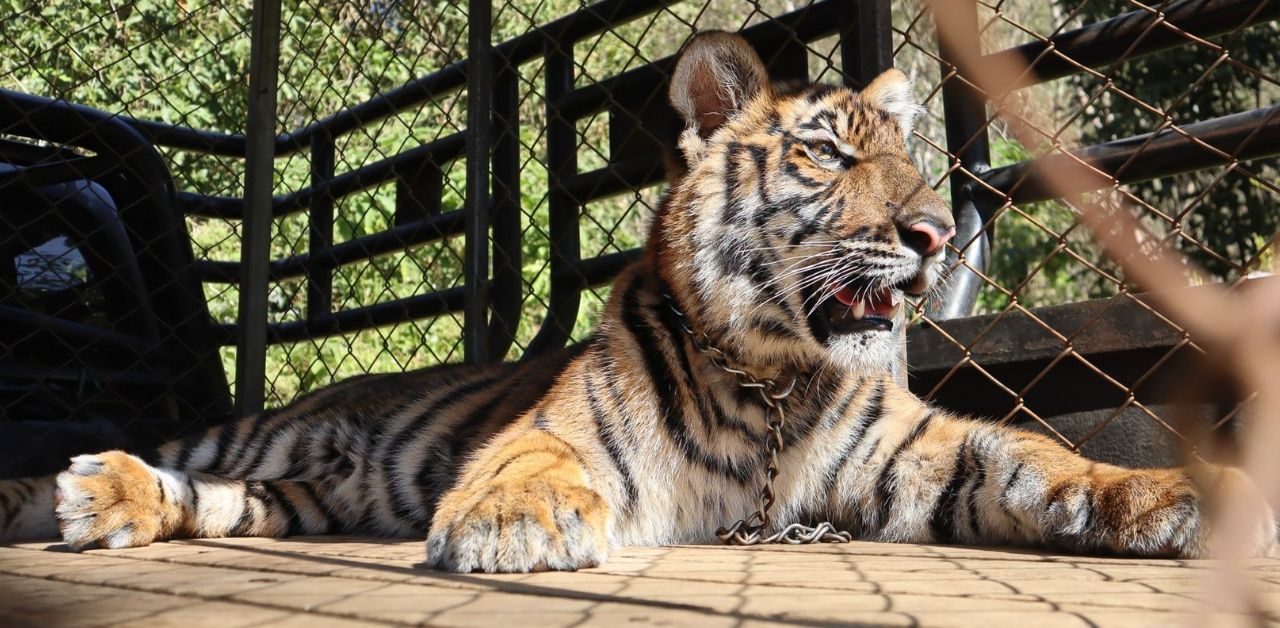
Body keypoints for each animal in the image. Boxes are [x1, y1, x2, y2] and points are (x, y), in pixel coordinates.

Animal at [0, 31, 1274, 573]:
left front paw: (1180, 497)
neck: (779, 380)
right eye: (824, 151)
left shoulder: (911, 453)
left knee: (213, 504)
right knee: (168, 460)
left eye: (911, 164)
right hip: (256, 431)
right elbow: (536, 460)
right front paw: (513, 524)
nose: (923, 233)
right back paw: (76, 491)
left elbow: (1040, 459)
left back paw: (107, 506)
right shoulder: (562, 427)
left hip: (293, 496)